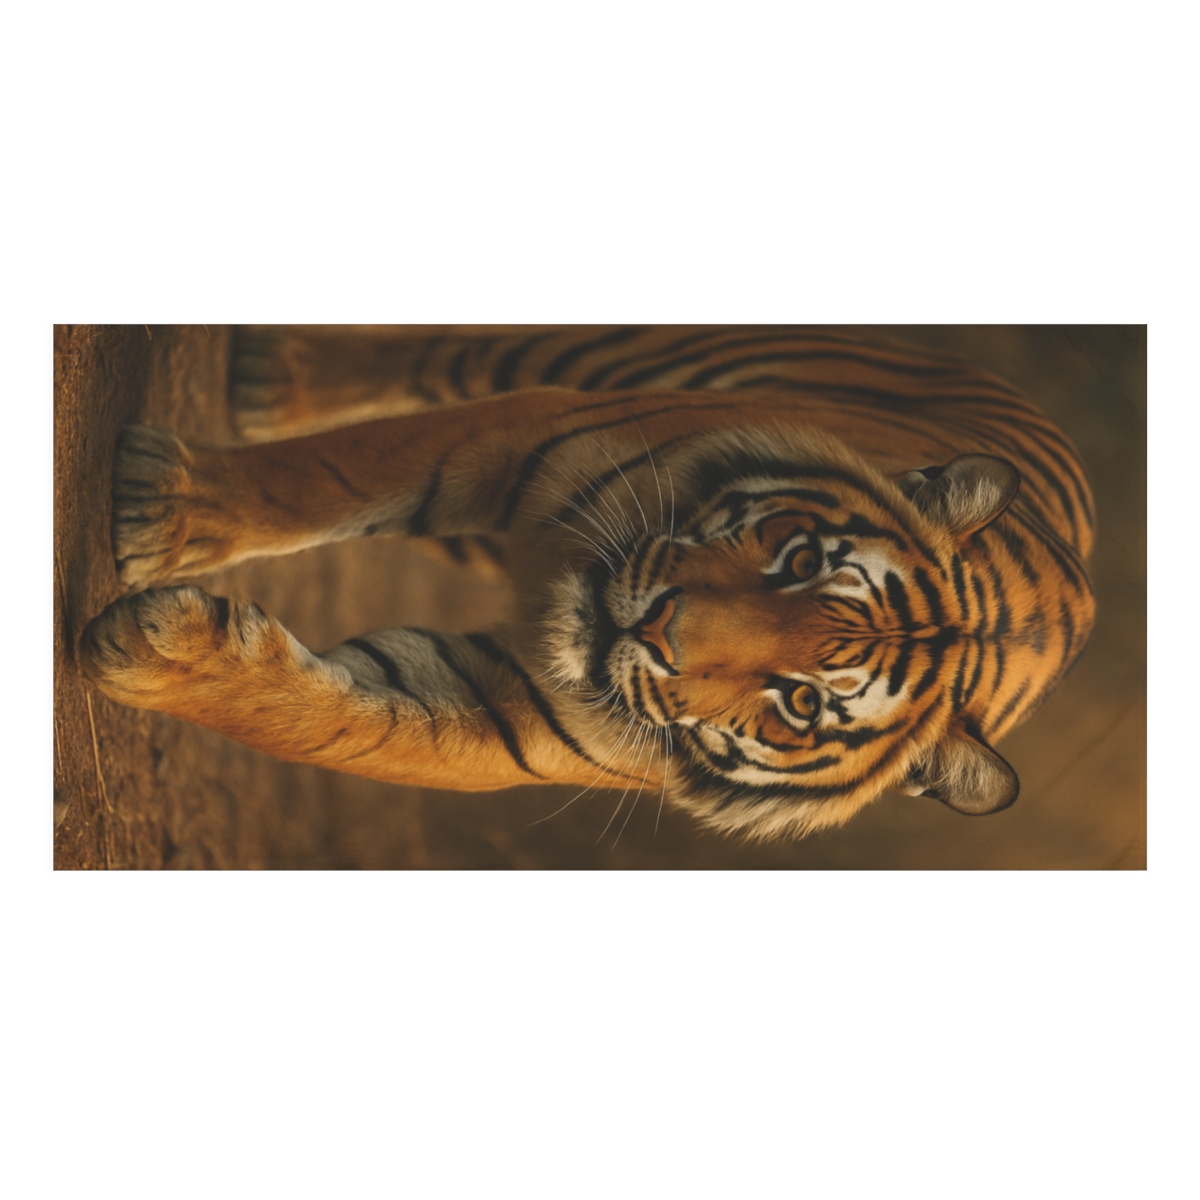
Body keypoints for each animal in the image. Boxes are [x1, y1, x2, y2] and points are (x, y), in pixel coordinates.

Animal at [79, 326, 1096, 841]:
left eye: (802, 703)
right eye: (802, 560)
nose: (657, 634)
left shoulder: (500, 710)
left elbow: (334, 724)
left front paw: (155, 655)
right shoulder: (513, 434)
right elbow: (325, 475)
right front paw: (157, 510)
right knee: (443, 352)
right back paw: (268, 376)